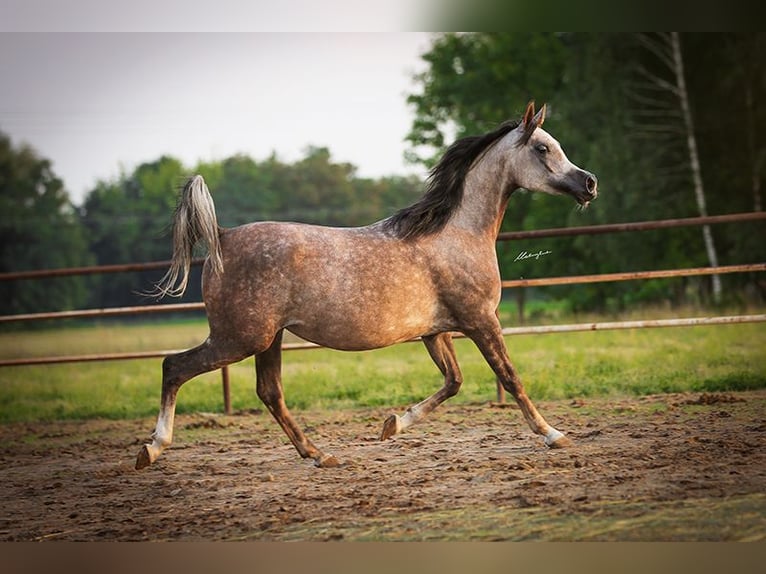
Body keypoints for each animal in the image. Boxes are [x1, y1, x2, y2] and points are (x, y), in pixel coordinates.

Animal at [134, 102, 600, 472]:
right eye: (543, 148)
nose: (589, 183)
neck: (456, 233)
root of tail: (223, 236)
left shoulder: (435, 332)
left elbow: (454, 381)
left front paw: (392, 425)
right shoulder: (481, 320)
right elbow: (510, 376)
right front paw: (554, 434)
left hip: (268, 339)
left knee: (270, 393)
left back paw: (320, 455)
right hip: (240, 338)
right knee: (174, 367)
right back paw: (152, 449)